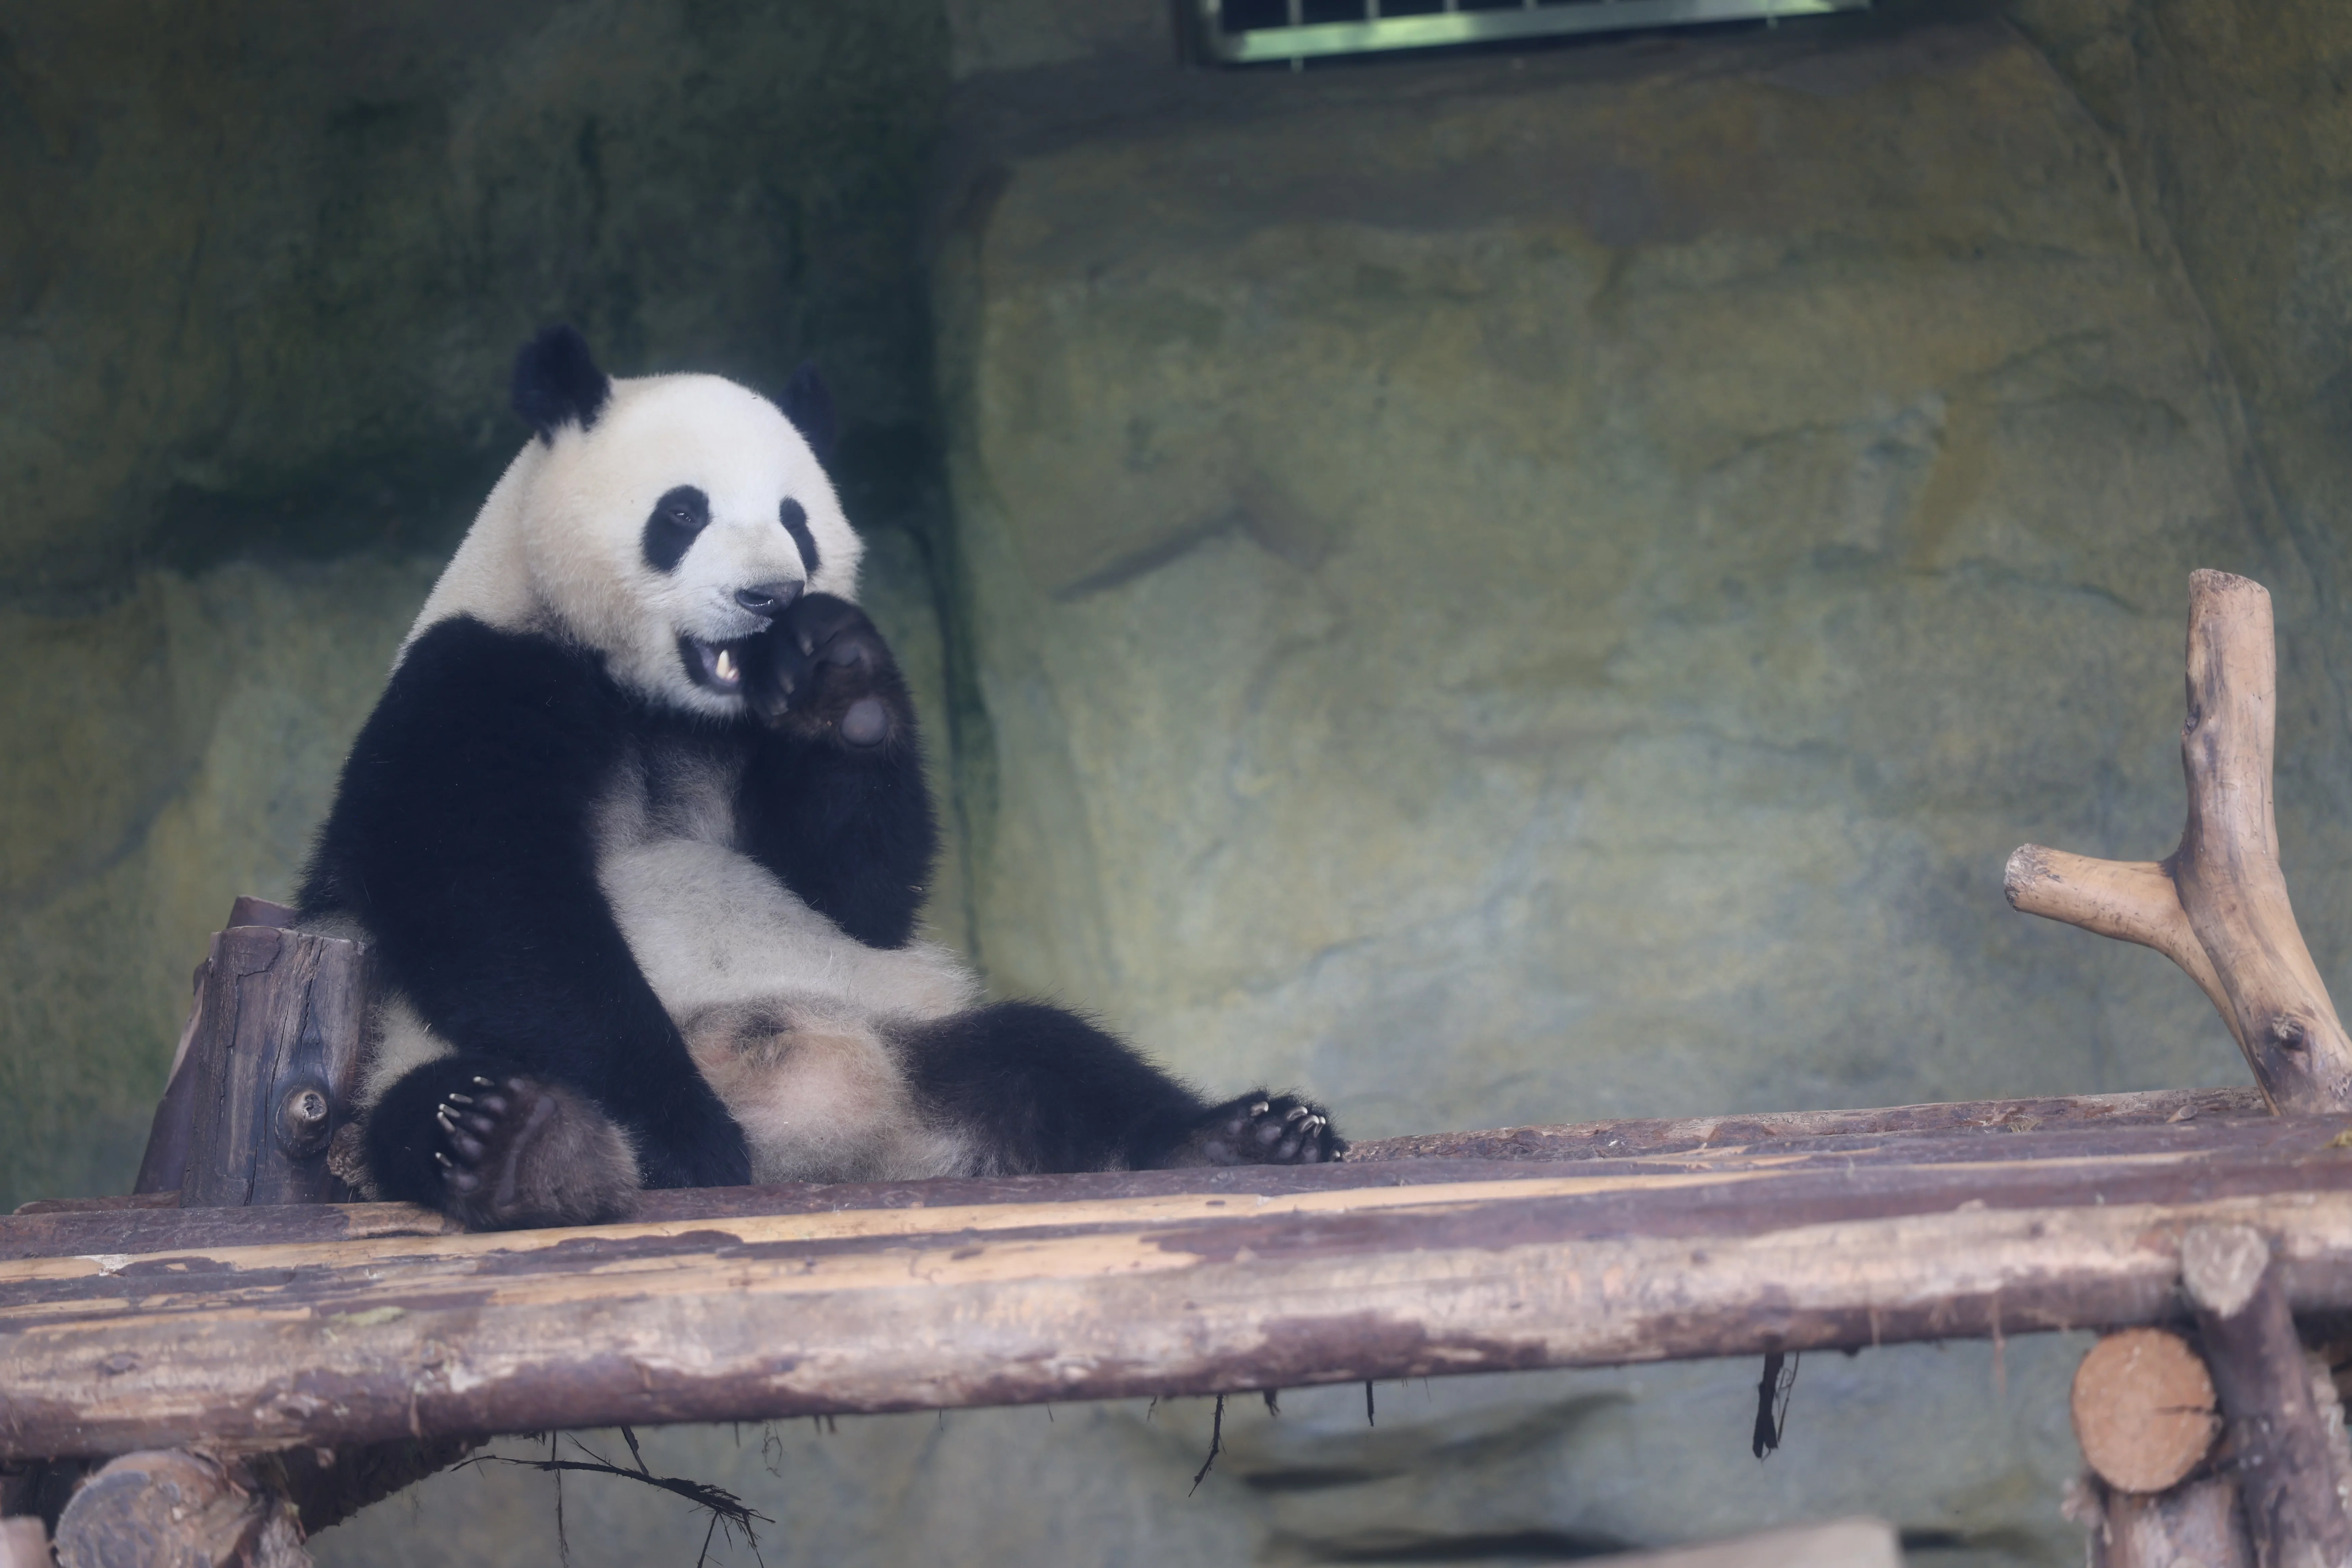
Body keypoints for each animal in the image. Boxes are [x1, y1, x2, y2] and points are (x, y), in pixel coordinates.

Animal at [297, 326, 1342, 1230]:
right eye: (683, 512)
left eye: (796, 521)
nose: (770, 598)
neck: (665, 704)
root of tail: (825, 1140)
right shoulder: (477, 681)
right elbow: (492, 903)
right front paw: (685, 1139)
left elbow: (858, 897)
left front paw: (842, 683)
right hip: (406, 1065)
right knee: (432, 1109)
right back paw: (529, 1150)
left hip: (902, 1026)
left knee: (1048, 1055)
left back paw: (1238, 1137)